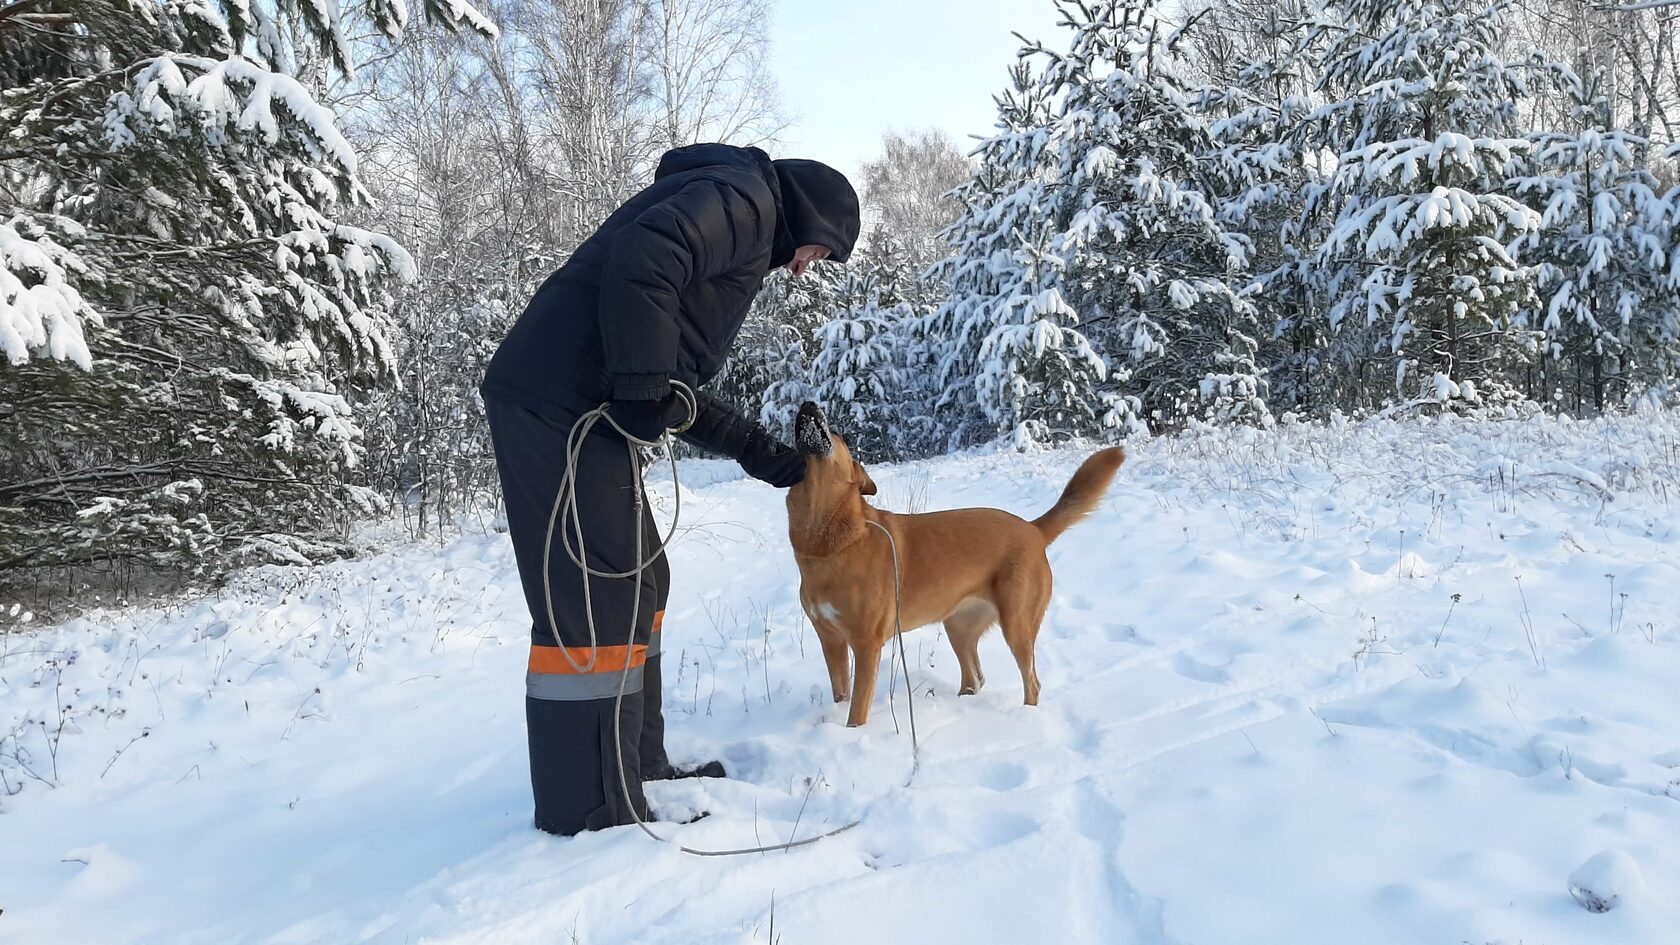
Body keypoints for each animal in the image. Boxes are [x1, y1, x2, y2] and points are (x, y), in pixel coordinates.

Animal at [786, 400, 1128, 723]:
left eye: (837, 433)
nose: (807, 403)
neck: (825, 541)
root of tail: (1033, 529)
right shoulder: (831, 639)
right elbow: (840, 693)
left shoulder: (866, 643)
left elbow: (856, 711)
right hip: (959, 626)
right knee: (974, 676)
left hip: (1017, 625)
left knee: (1031, 682)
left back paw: (1025, 717)